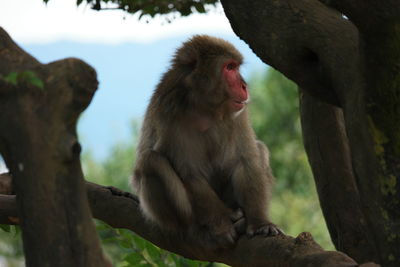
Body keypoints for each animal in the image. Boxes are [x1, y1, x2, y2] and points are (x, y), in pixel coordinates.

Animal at [133, 35, 280, 249]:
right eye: (229, 67)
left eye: (236, 67)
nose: (245, 86)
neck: (206, 106)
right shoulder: (170, 111)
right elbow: (190, 173)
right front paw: (221, 225)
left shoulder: (239, 113)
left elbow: (247, 159)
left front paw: (260, 223)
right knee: (150, 161)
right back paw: (196, 227)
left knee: (259, 149)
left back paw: (241, 220)